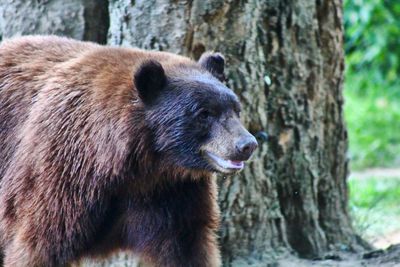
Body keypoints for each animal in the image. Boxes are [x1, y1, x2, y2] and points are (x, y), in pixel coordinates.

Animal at [0, 36, 258, 267]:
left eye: (236, 109)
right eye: (204, 113)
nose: (247, 145)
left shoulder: (173, 193)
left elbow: (187, 246)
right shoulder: (62, 173)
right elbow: (40, 244)